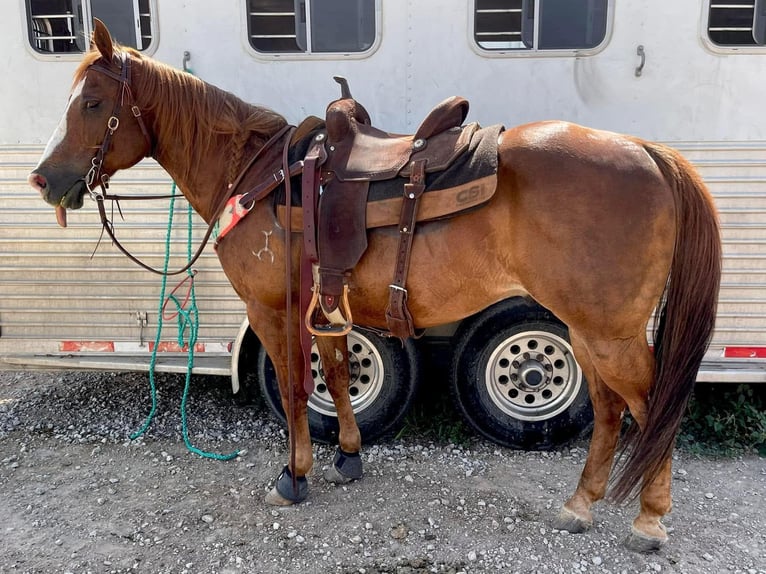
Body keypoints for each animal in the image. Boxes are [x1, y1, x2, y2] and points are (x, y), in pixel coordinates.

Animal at [28, 20, 721, 552]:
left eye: (92, 103)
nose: (42, 178)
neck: (257, 176)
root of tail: (647, 151)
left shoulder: (274, 309)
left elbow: (296, 387)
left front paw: (294, 476)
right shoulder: (327, 306)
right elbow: (336, 376)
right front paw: (348, 458)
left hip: (610, 333)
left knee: (653, 403)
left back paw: (648, 520)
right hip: (586, 327)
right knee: (609, 409)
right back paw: (580, 505)